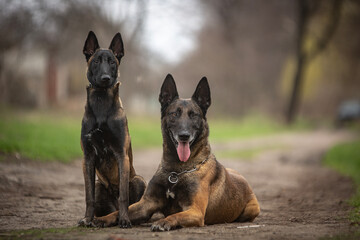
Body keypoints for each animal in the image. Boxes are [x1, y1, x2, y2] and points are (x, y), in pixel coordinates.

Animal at [78, 31, 146, 228]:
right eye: (96, 62)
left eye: (112, 62)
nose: (105, 78)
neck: (101, 101)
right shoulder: (87, 158)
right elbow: (89, 197)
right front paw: (86, 219)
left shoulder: (121, 155)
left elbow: (123, 195)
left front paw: (124, 220)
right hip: (100, 185)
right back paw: (98, 220)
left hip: (138, 180)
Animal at [94, 73, 260, 231]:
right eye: (174, 114)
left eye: (194, 115)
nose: (184, 136)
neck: (176, 171)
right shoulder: (147, 204)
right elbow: (120, 212)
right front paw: (102, 219)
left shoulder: (195, 211)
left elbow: (176, 215)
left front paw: (163, 222)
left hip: (252, 209)